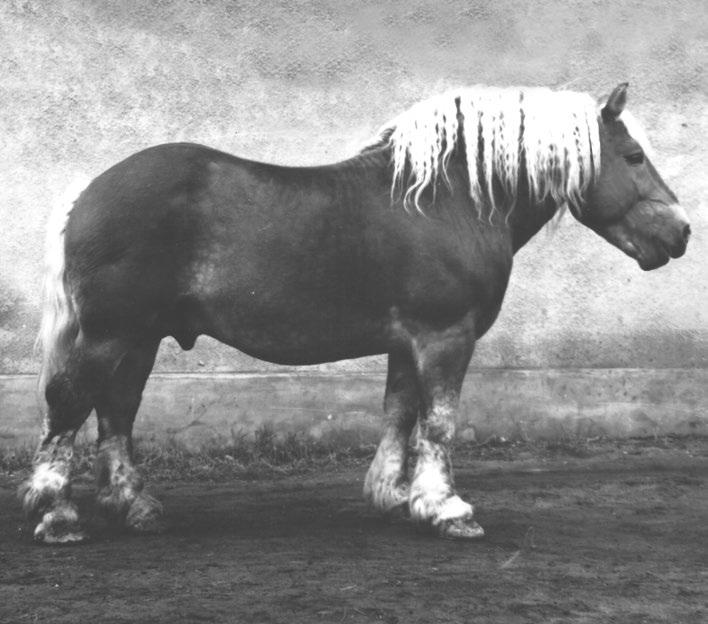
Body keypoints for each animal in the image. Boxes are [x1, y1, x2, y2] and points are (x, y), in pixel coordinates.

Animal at [22, 81, 692, 540]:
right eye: (634, 156)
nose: (682, 232)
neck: (448, 200)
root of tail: (88, 192)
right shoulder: (446, 337)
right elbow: (439, 423)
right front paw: (448, 509)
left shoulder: (407, 342)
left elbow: (398, 414)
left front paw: (394, 498)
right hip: (110, 334)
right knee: (71, 404)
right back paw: (57, 514)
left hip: (139, 338)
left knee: (116, 410)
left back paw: (134, 506)